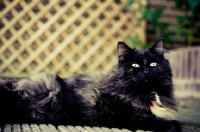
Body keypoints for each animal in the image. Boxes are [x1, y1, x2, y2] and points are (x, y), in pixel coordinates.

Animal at [0, 38, 181, 131]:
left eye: (153, 64)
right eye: (135, 65)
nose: (146, 72)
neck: (145, 93)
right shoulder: (117, 114)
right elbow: (148, 119)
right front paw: (171, 125)